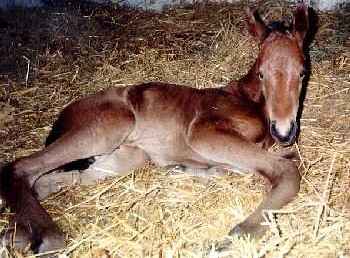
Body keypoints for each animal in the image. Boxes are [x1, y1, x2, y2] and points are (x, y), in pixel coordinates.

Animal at [0, 3, 308, 256]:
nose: (283, 131)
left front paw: (188, 169)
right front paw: (239, 235)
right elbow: (287, 169)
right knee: (20, 167)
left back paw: (14, 235)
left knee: (51, 180)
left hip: (128, 156)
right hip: (111, 126)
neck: (249, 100)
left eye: (302, 72)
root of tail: (65, 113)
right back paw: (45, 236)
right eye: (262, 73)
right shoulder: (203, 131)